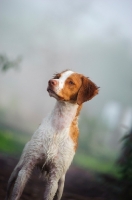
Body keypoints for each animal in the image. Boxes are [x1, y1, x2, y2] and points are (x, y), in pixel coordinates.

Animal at [5, 69, 99, 199]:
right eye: (58, 77)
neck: (58, 127)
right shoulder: (26, 168)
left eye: (71, 82)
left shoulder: (54, 178)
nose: (51, 82)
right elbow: (16, 194)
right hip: (18, 167)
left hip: (61, 184)